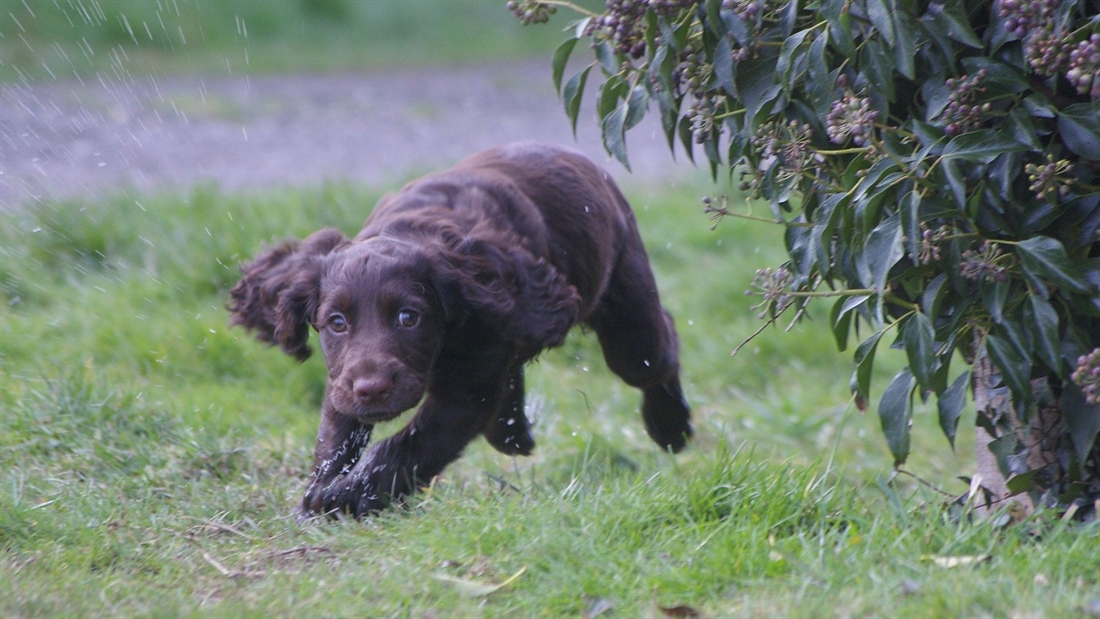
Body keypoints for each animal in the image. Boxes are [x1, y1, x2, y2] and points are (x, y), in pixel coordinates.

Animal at [225, 141, 686, 518]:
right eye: (336, 323)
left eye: (408, 318)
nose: (372, 389)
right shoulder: (345, 379)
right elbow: (335, 437)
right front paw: (318, 495)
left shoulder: (462, 394)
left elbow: (404, 449)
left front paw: (343, 498)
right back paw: (514, 432)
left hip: (629, 321)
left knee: (657, 350)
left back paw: (671, 426)